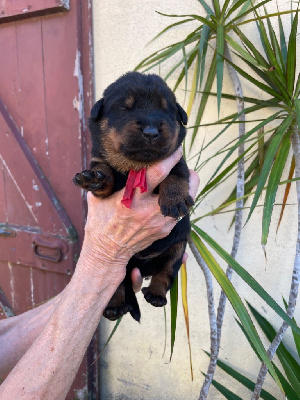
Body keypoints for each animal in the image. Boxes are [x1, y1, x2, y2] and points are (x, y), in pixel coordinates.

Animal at [74, 72, 193, 322]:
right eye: (125, 108)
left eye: (166, 110)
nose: (151, 132)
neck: (136, 166)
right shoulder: (101, 160)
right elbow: (105, 172)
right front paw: (95, 179)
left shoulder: (177, 160)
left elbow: (176, 174)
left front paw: (174, 200)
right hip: (119, 268)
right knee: (116, 286)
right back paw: (115, 308)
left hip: (178, 246)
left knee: (165, 272)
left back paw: (156, 295)